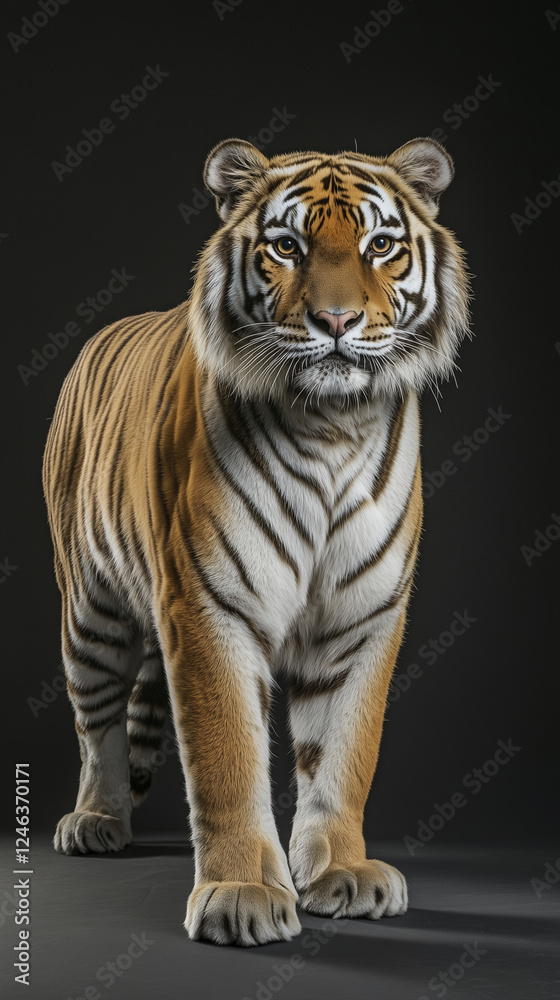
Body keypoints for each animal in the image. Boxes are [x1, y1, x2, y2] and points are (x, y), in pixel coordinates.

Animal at [43, 136, 470, 947]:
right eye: (287, 246)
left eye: (380, 245)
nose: (336, 319)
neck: (334, 425)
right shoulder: (210, 606)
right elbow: (227, 761)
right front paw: (239, 894)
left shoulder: (362, 618)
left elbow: (343, 758)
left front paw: (342, 873)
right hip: (91, 611)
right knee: (97, 726)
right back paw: (95, 821)